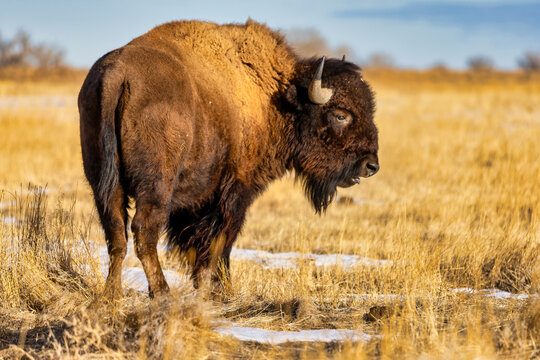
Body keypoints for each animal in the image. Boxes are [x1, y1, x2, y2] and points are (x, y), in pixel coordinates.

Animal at [79, 21, 380, 300]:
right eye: (340, 115)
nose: (371, 165)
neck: (276, 97)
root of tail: (119, 74)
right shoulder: (235, 190)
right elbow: (222, 239)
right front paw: (221, 288)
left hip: (104, 183)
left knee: (116, 233)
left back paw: (112, 293)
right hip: (156, 185)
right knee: (143, 231)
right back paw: (162, 292)